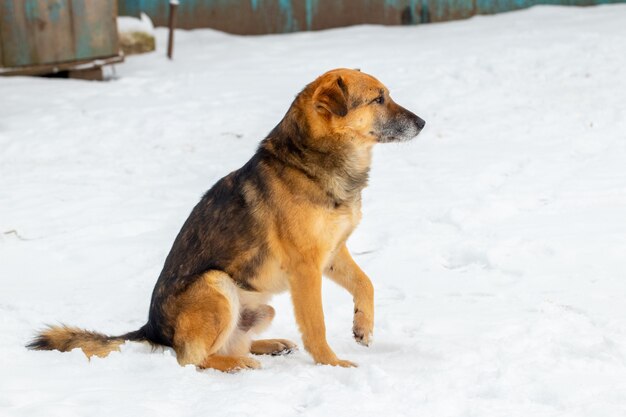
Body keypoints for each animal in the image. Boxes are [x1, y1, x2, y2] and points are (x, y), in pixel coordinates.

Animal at [28, 68, 424, 370]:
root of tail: (151, 329)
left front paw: (363, 326)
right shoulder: (306, 268)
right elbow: (317, 324)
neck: (313, 162)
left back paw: (269, 346)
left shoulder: (333, 253)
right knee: (193, 359)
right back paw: (237, 364)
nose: (422, 122)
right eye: (378, 99)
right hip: (216, 284)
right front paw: (332, 363)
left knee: (232, 342)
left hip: (261, 308)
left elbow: (366, 284)